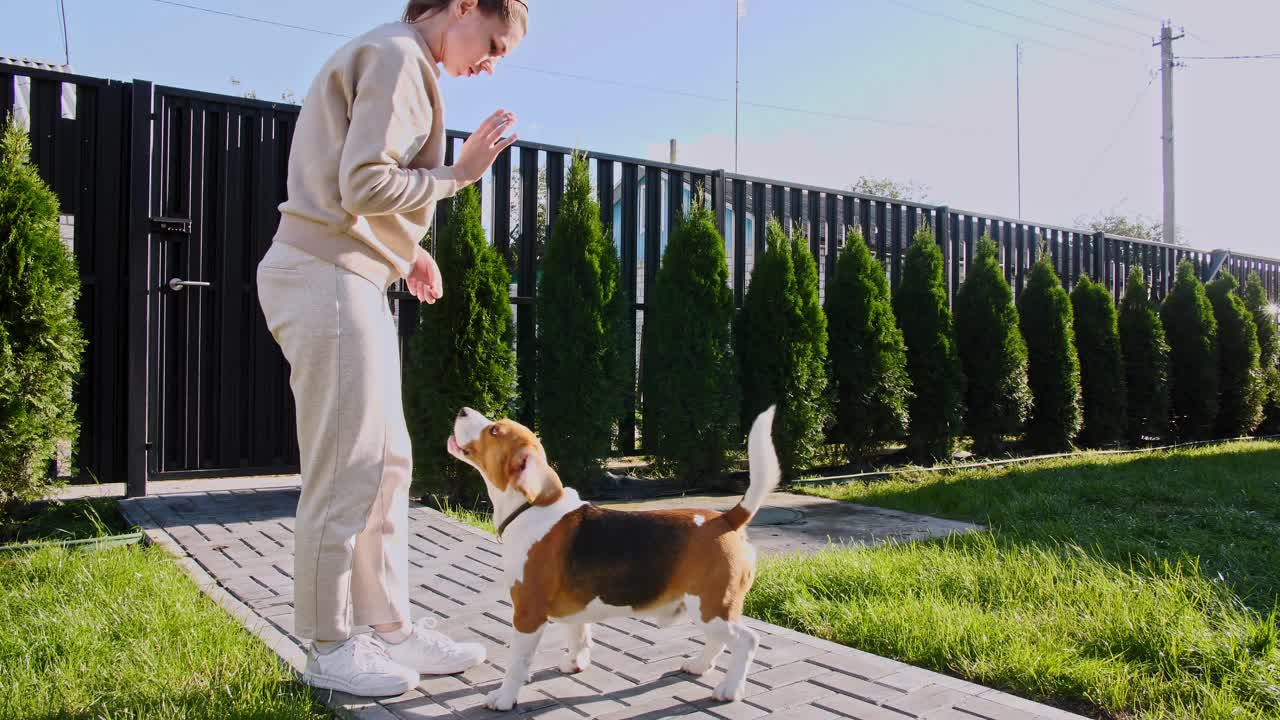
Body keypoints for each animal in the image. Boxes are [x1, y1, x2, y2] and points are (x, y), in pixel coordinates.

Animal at [450, 404, 778, 707]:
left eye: (494, 431)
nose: (462, 409)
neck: (528, 508)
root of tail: (726, 519)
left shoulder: (528, 613)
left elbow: (517, 663)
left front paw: (504, 697)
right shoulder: (575, 609)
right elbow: (578, 635)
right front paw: (575, 663)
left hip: (712, 607)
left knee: (747, 641)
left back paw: (730, 689)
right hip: (706, 610)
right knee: (718, 642)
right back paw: (699, 665)